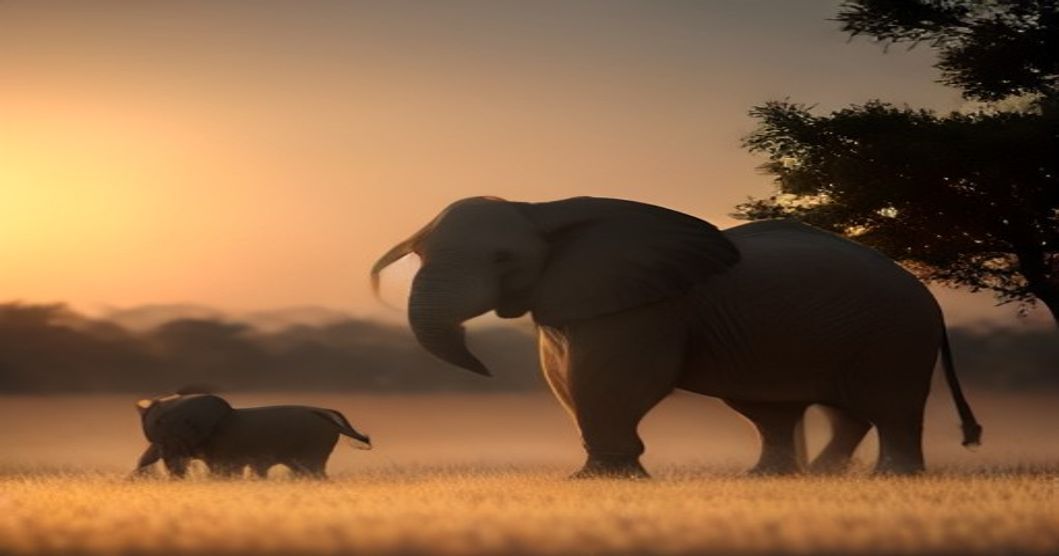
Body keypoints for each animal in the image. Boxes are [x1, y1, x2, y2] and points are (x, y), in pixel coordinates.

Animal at [372, 196, 982, 477]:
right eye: (419, 253)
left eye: (502, 258)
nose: (484, 367)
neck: (544, 210)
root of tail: (927, 294)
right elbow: (565, 380)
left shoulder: (648, 306)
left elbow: (611, 381)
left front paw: (603, 481)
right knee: (794, 410)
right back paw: (788, 477)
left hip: (895, 332)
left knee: (889, 405)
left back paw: (889, 477)